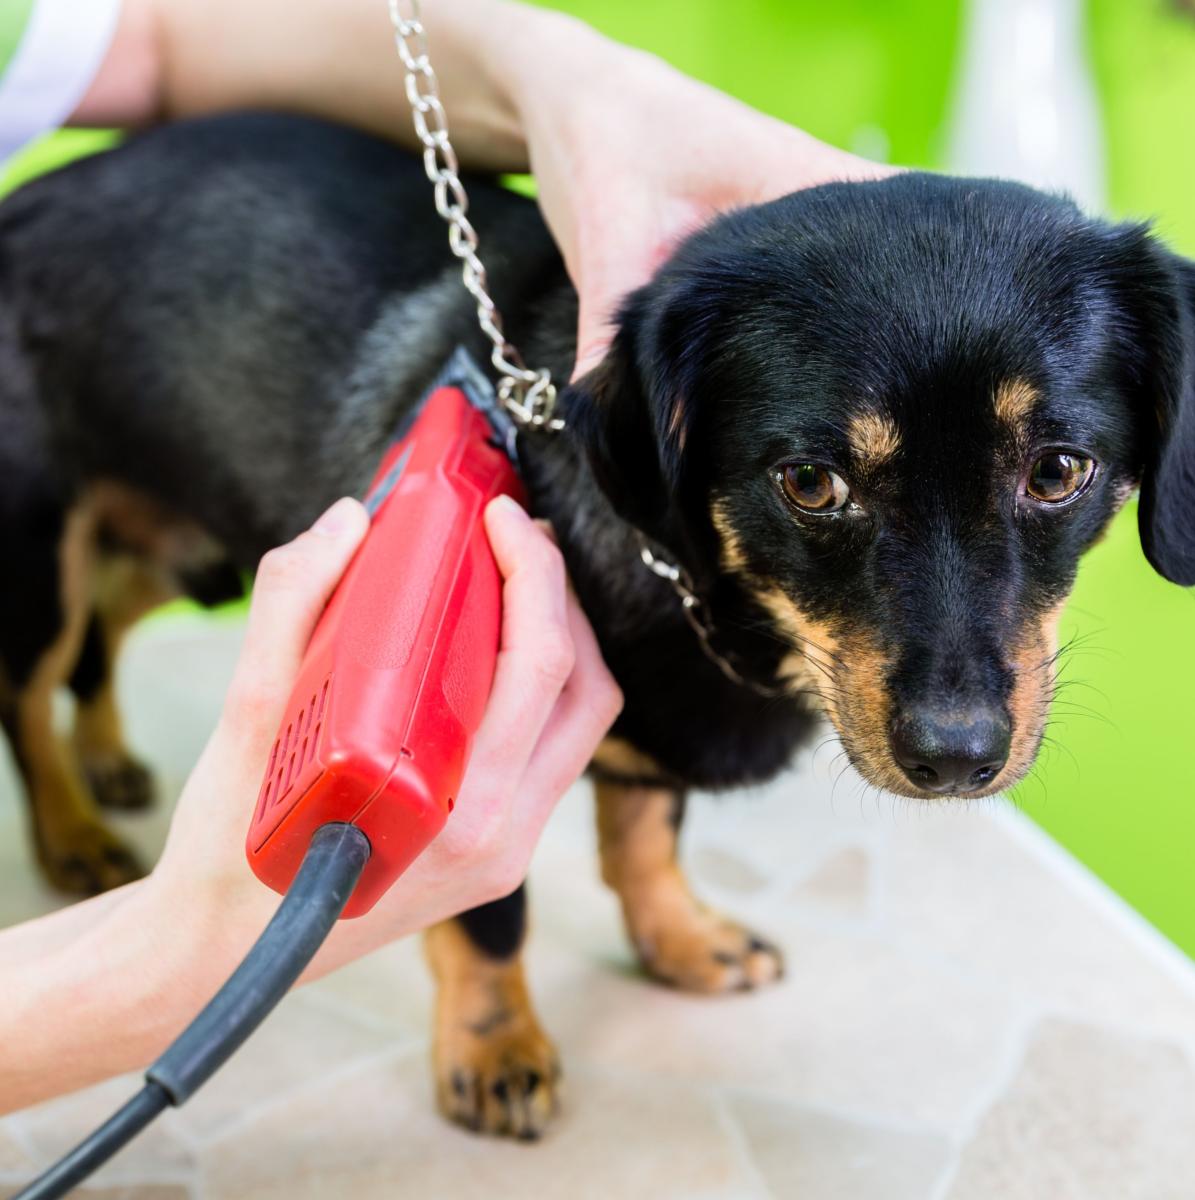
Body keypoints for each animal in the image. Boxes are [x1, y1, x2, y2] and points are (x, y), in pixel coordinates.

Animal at [0, 112, 1190, 1132]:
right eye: (811, 483)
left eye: (1058, 471)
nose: (955, 758)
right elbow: (490, 915)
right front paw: (494, 1048)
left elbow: (646, 833)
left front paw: (681, 939)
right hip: (46, 552)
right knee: (34, 684)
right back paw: (71, 832)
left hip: (177, 547)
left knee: (102, 638)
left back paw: (105, 761)